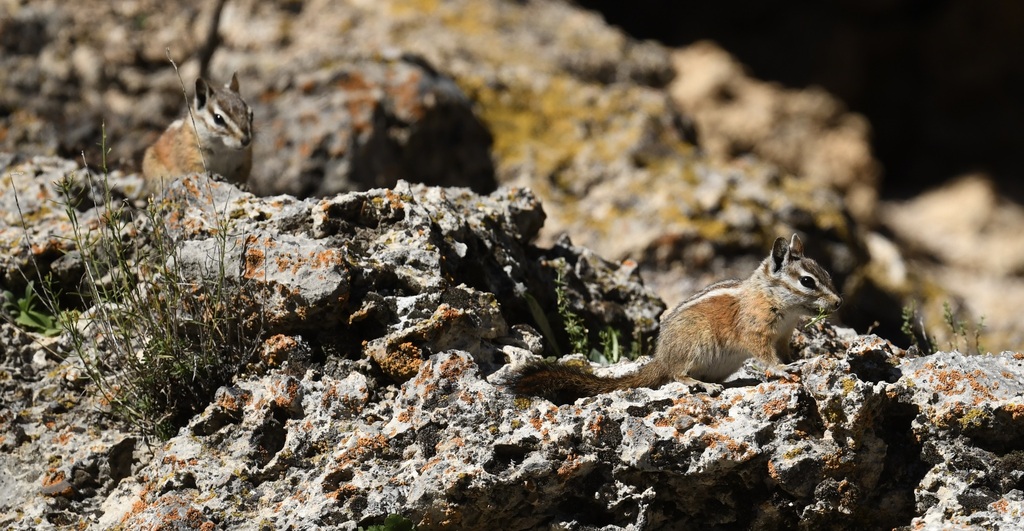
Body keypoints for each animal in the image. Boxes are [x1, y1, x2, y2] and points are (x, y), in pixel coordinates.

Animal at [510, 234, 843, 402]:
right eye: (807, 282)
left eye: (827, 273)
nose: (838, 303)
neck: (774, 299)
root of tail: (660, 357)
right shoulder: (756, 333)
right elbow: (766, 357)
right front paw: (783, 370)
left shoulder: (784, 336)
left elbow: (785, 352)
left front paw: (798, 361)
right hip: (695, 345)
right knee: (676, 375)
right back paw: (703, 385)